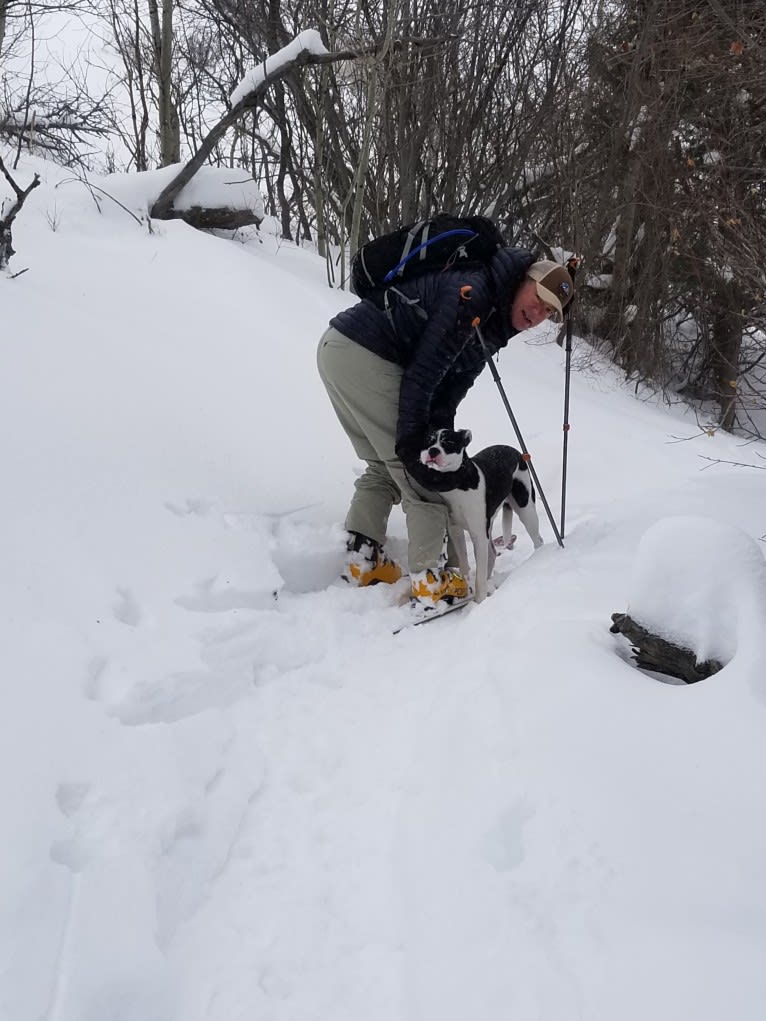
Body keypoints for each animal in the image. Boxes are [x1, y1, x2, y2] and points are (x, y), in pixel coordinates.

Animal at [420, 426, 547, 600]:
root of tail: (515, 451)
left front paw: (479, 601)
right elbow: (464, 562)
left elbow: (479, 576)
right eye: (428, 441)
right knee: (492, 553)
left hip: (525, 508)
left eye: (449, 443)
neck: (458, 483)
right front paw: (466, 585)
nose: (433, 451)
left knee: (537, 539)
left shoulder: (478, 535)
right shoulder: (456, 530)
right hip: (490, 522)